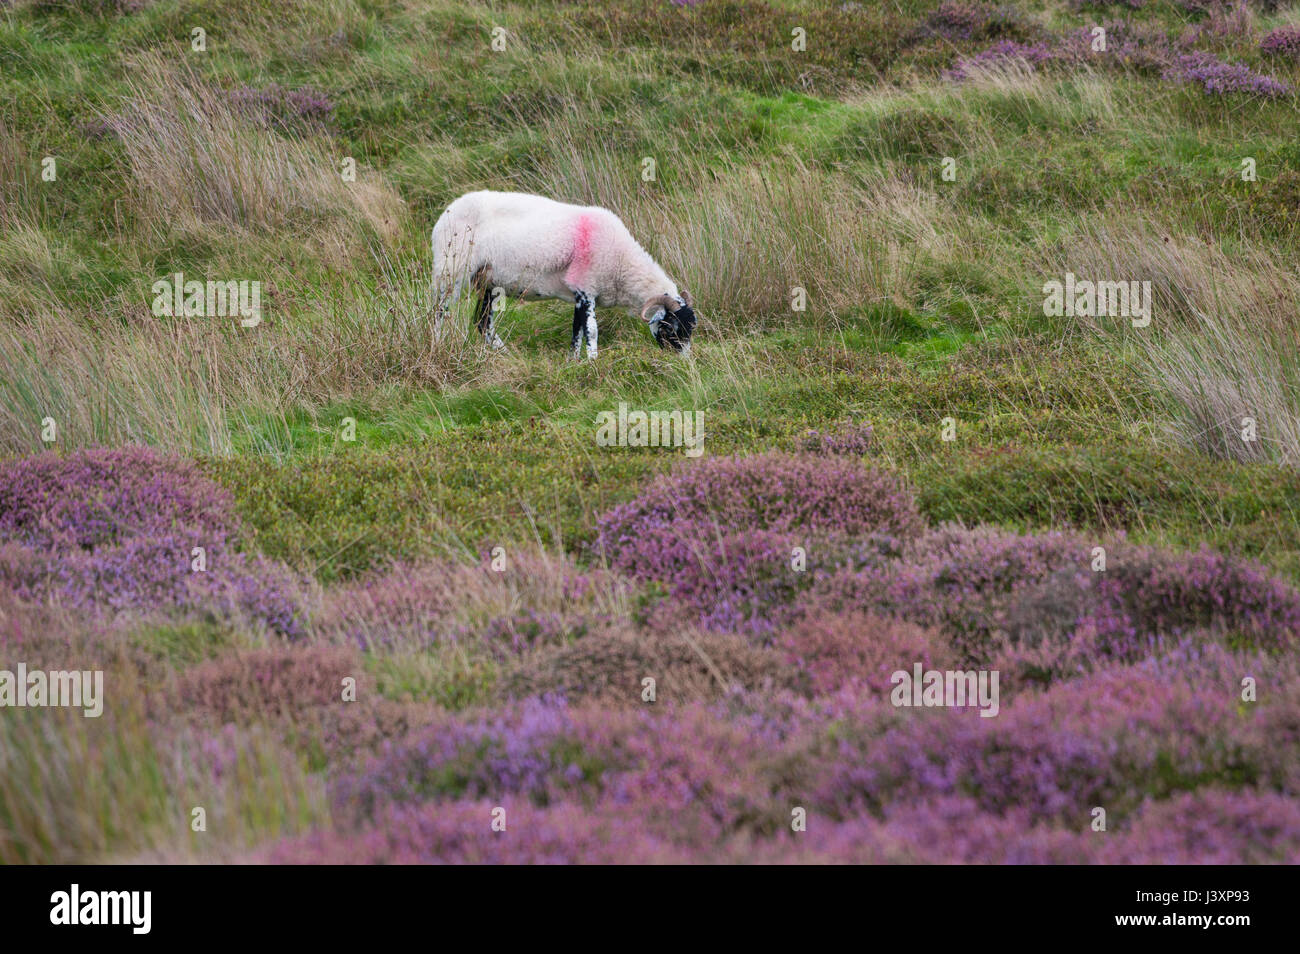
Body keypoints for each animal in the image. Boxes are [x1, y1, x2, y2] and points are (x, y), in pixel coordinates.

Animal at [431, 191, 696, 358]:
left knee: (482, 321)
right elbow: (591, 330)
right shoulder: (586, 286)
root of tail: (445, 214)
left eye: (690, 328)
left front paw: (573, 361)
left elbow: (576, 330)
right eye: (671, 329)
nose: (684, 363)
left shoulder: (579, 293)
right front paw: (593, 361)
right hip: (451, 270)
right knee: (439, 313)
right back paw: (438, 345)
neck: (622, 263)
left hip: (488, 280)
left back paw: (504, 354)